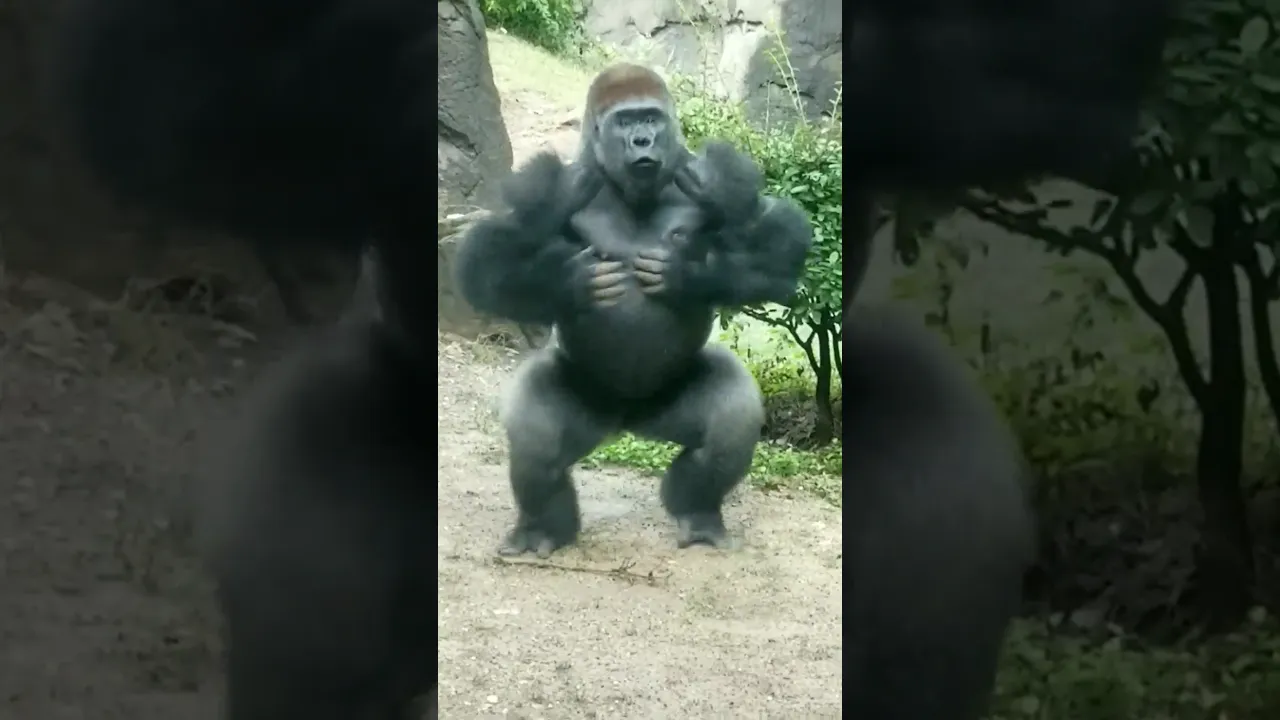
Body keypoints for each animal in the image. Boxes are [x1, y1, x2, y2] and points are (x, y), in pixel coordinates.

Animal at [453, 64, 814, 556]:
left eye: (651, 118)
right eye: (625, 122)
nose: (642, 141)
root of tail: (627, 421)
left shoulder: (716, 170)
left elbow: (775, 239)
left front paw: (692, 269)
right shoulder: (541, 183)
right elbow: (490, 253)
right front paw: (568, 277)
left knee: (729, 425)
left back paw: (698, 512)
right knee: (538, 443)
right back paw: (542, 528)